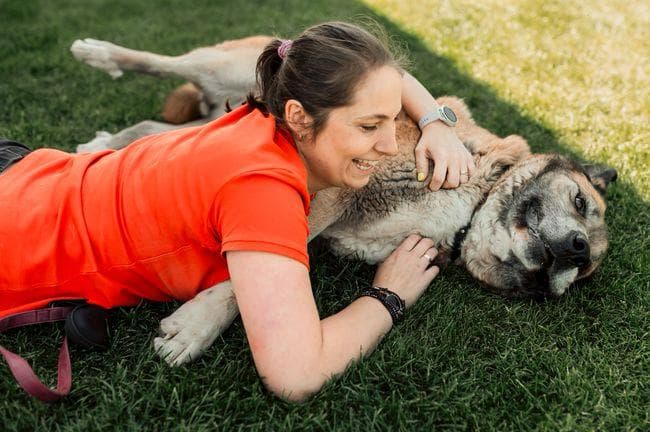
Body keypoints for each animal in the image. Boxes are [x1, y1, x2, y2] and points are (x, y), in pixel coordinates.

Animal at [69, 36, 612, 364]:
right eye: (581, 202)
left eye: (575, 276)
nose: (578, 249)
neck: (468, 209)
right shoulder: (332, 189)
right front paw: (196, 326)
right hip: (228, 64)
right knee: (163, 64)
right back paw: (98, 55)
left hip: (208, 120)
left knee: (152, 131)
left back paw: (101, 147)